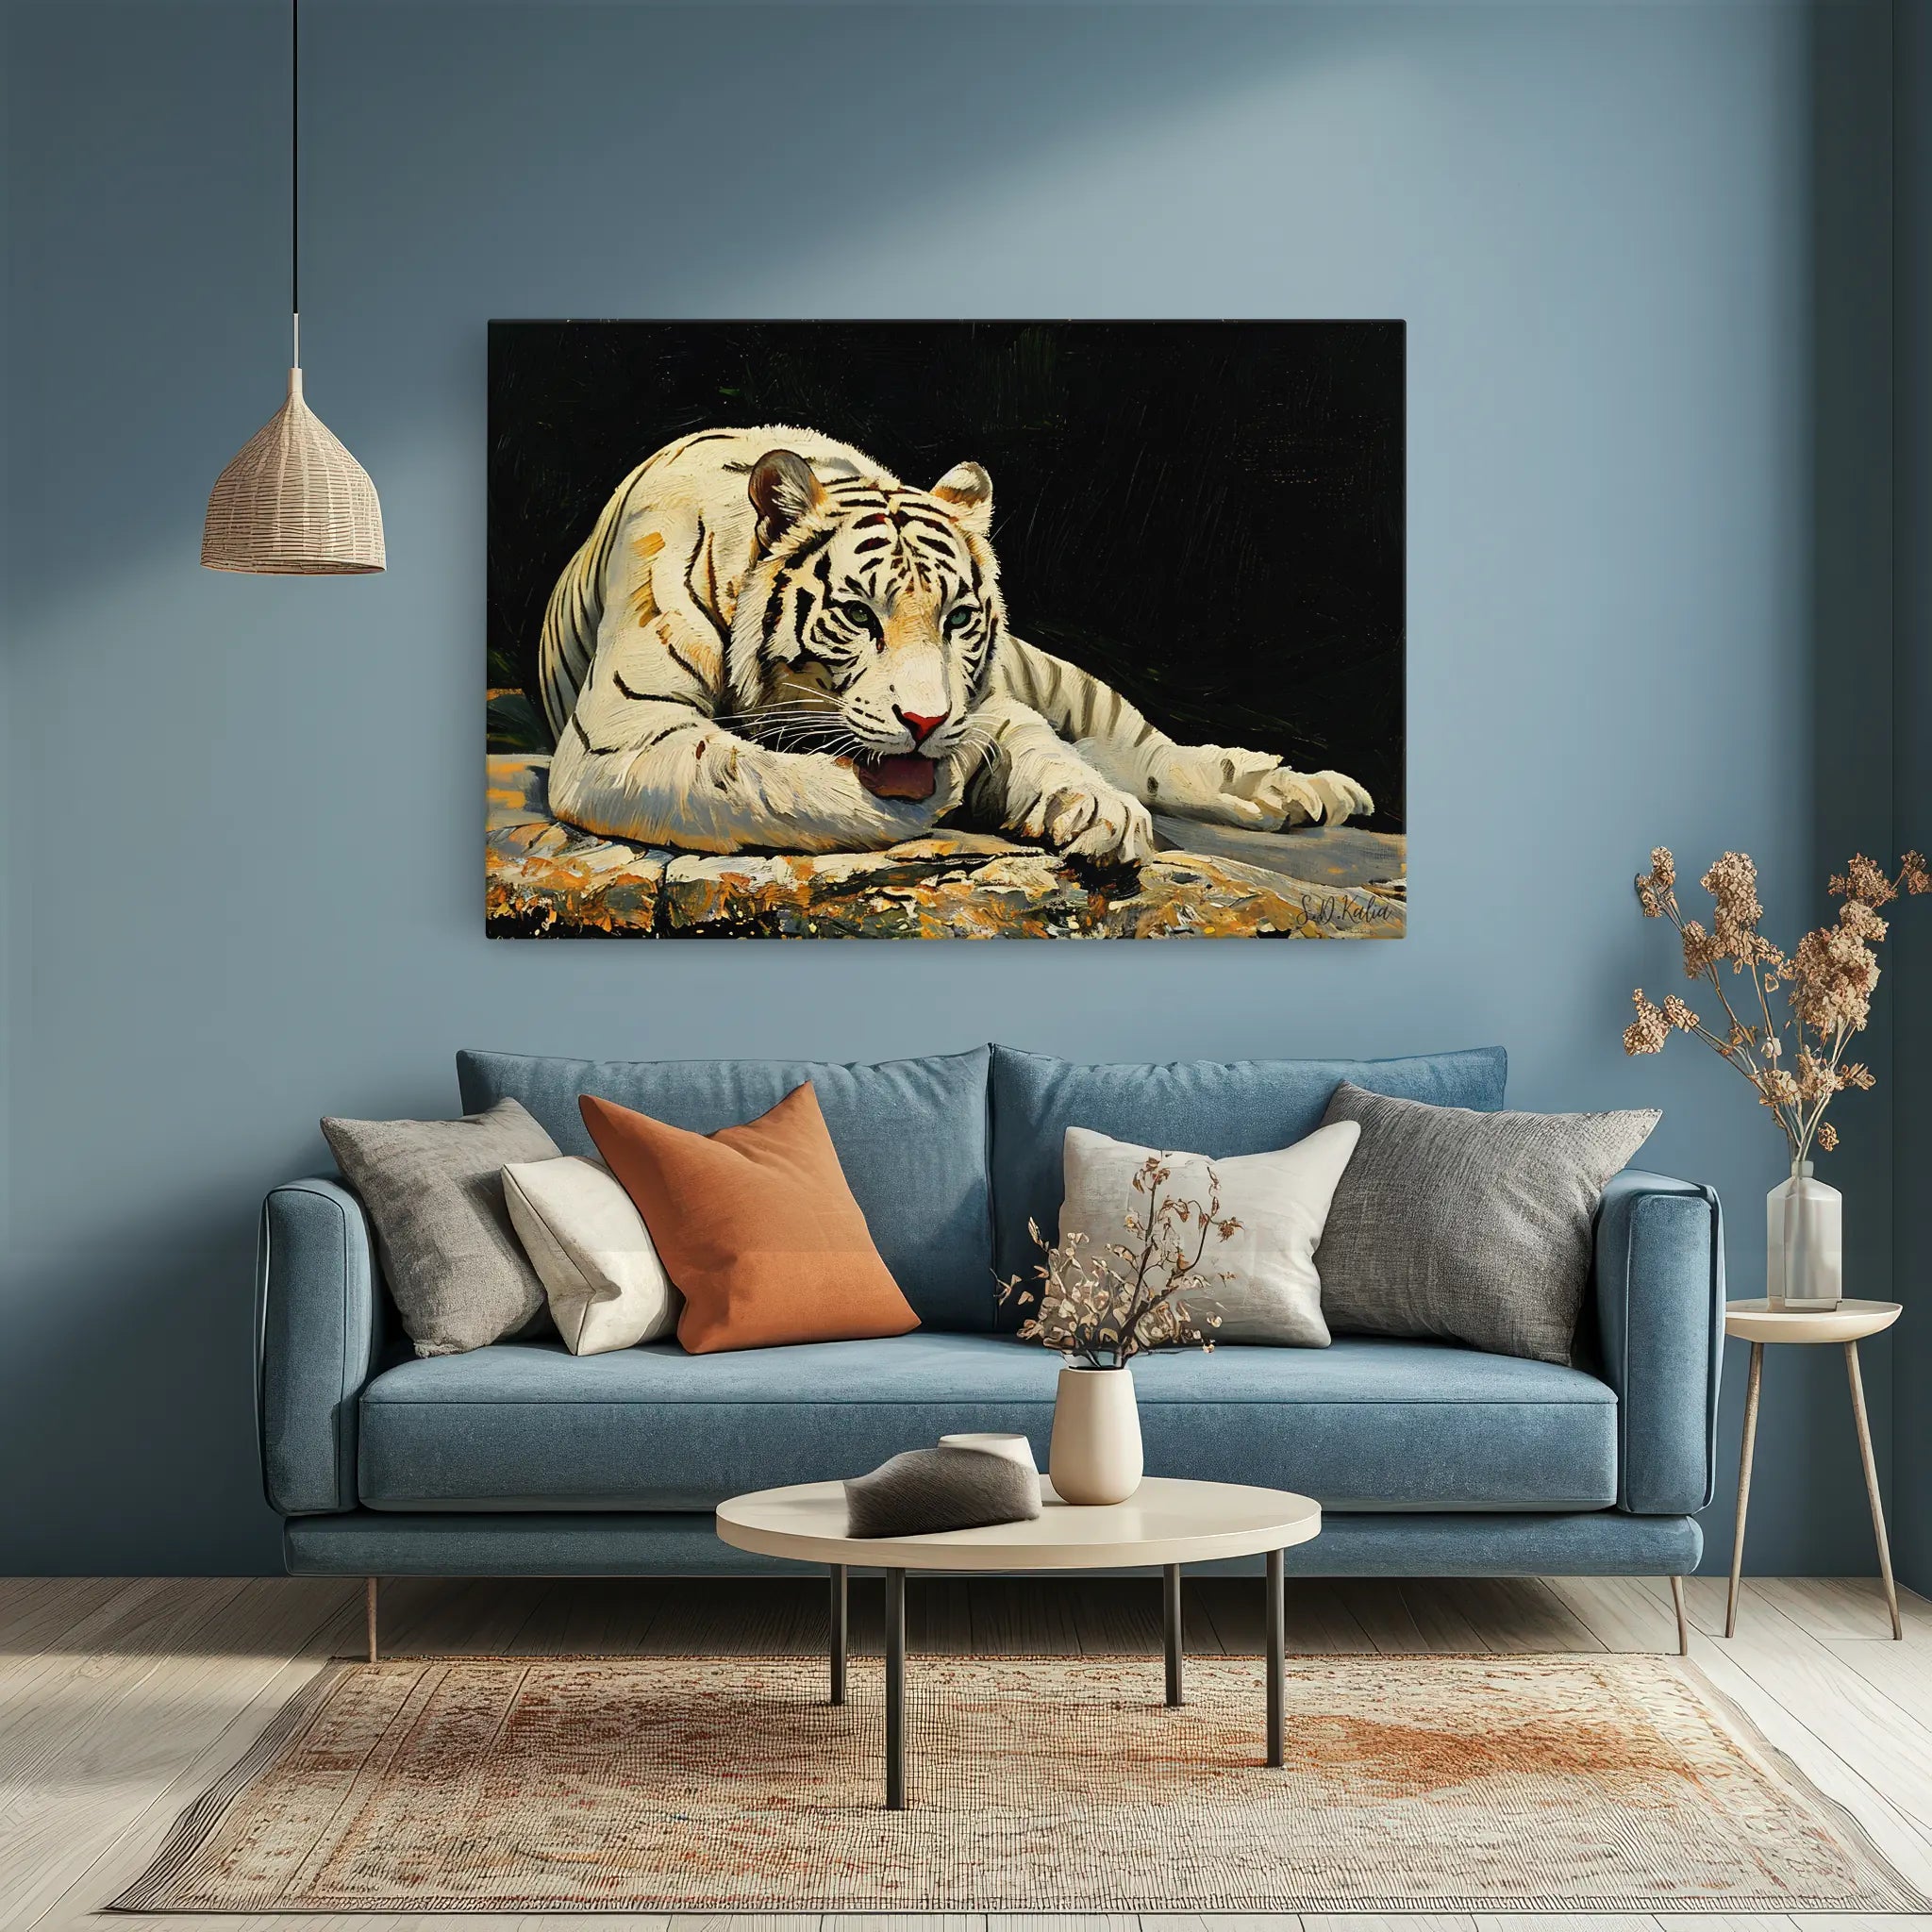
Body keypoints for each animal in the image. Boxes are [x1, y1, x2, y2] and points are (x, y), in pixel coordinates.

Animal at [537, 425, 1372, 862]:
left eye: (958, 621)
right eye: (859, 615)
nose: (926, 724)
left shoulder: (994, 697)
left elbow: (1042, 744)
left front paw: (1097, 809)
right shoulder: (624, 735)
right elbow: (752, 778)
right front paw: (938, 787)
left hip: (1055, 675)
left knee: (1153, 754)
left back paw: (1304, 791)